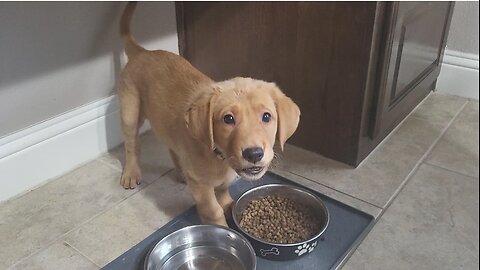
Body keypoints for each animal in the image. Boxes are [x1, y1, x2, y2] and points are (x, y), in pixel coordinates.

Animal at [118, 3, 298, 227]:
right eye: (228, 119)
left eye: (266, 117)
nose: (254, 154)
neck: (219, 156)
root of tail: (143, 52)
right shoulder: (201, 185)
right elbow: (212, 210)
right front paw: (221, 225)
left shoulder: (221, 179)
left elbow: (223, 191)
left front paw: (228, 204)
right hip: (130, 111)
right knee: (132, 145)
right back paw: (131, 173)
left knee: (172, 149)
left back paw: (181, 172)